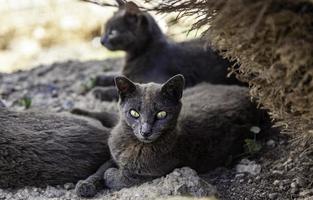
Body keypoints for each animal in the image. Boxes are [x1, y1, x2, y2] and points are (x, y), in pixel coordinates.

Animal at [76, 74, 264, 197]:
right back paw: (77, 111)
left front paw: (110, 175)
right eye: (134, 113)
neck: (134, 144)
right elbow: (100, 169)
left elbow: (116, 177)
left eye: (161, 114)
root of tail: (246, 91)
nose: (145, 131)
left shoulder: (148, 174)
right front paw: (85, 185)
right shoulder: (114, 155)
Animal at [91, 0, 243, 101]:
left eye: (113, 32)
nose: (101, 40)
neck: (137, 55)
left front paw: (99, 91)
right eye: (105, 29)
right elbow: (118, 76)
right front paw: (98, 78)